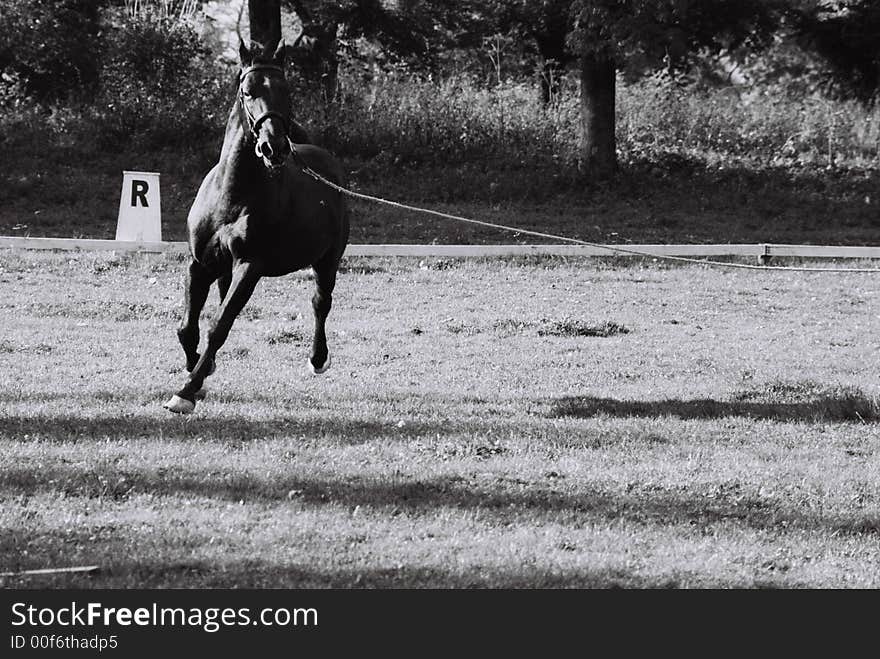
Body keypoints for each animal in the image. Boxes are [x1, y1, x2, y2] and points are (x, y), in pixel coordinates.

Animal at [163, 38, 348, 412]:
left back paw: (318, 359)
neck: (232, 196)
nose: (273, 146)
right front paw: (198, 373)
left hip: (327, 261)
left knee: (320, 303)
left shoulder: (250, 266)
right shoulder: (198, 264)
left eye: (286, 91)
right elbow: (187, 328)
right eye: (247, 91)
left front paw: (187, 391)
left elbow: (219, 325)